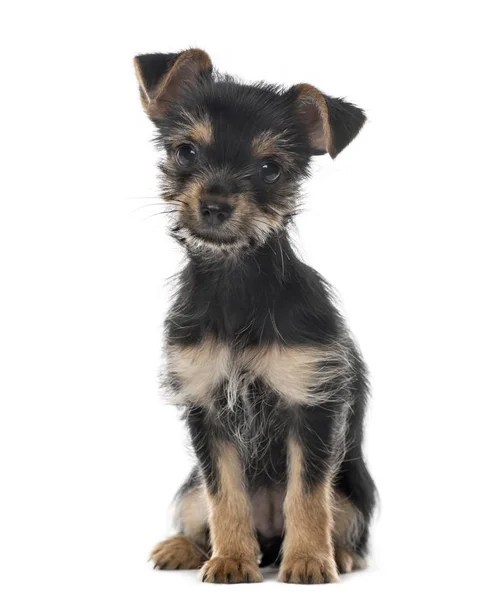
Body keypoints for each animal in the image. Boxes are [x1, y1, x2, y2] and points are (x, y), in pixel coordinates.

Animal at [134, 49, 374, 584]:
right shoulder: (207, 410)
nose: (215, 204)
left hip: (352, 492)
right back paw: (186, 548)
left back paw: (337, 554)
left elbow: (306, 494)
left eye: (270, 169)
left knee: (340, 518)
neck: (236, 279)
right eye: (187, 152)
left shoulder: (312, 406)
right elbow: (225, 495)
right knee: (201, 510)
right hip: (189, 491)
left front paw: (308, 561)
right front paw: (229, 560)